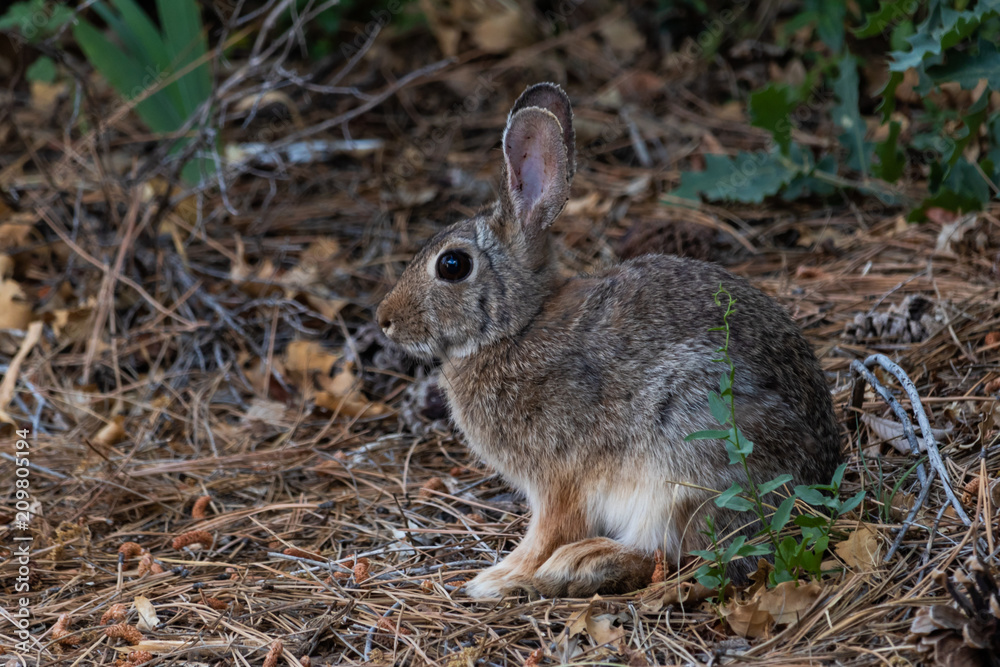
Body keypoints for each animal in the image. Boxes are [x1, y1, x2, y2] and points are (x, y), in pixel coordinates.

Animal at [376, 82, 842, 598]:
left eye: (452, 265)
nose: (384, 320)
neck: (518, 326)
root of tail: (816, 482)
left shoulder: (559, 477)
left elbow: (549, 530)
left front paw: (500, 577)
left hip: (687, 459)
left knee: (676, 555)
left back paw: (576, 564)